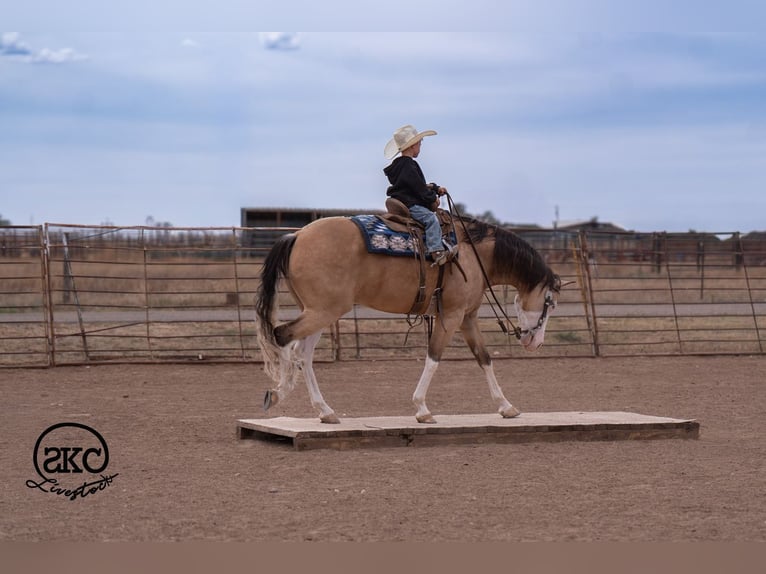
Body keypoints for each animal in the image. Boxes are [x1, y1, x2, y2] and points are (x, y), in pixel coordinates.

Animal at [254, 212, 562, 424]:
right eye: (550, 303)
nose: (535, 342)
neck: (473, 254)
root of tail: (295, 236)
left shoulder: (468, 317)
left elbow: (484, 359)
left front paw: (506, 406)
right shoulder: (452, 316)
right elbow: (433, 357)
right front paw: (422, 408)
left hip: (319, 311)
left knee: (302, 354)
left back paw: (324, 410)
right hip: (323, 311)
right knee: (283, 335)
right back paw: (279, 391)